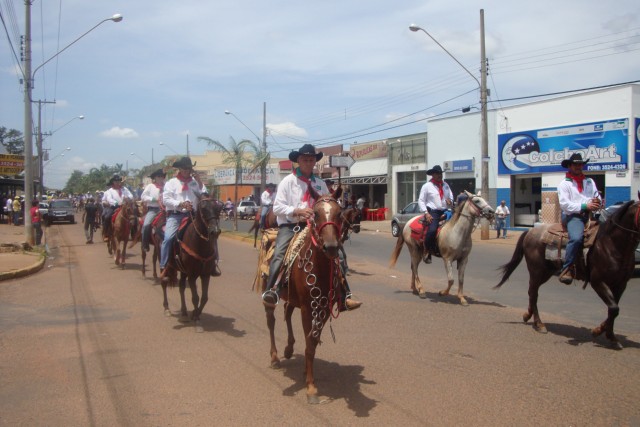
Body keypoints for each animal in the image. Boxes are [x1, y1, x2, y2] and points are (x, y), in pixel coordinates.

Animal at [161, 197, 224, 334]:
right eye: (203, 209)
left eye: (218, 208)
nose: (215, 231)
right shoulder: (192, 275)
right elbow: (195, 297)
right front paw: (196, 320)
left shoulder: (205, 275)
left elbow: (204, 297)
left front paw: (195, 314)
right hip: (166, 264)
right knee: (164, 281)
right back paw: (167, 309)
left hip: (183, 271)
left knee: (181, 287)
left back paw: (184, 313)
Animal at [262, 196, 348, 404]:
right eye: (315, 213)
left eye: (339, 213)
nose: (331, 247)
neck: (320, 267)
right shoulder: (308, 309)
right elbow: (309, 345)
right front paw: (311, 388)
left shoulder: (324, 309)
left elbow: (313, 343)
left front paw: (307, 374)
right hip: (269, 292)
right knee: (271, 320)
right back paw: (275, 358)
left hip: (293, 298)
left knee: (287, 312)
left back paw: (288, 348)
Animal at [496, 198, 640, 352]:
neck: (611, 244)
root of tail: (530, 231)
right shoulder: (598, 282)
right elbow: (614, 308)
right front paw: (601, 332)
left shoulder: (620, 284)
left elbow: (613, 310)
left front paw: (608, 335)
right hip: (537, 271)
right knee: (533, 293)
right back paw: (539, 324)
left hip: (546, 272)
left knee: (532, 293)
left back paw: (528, 315)